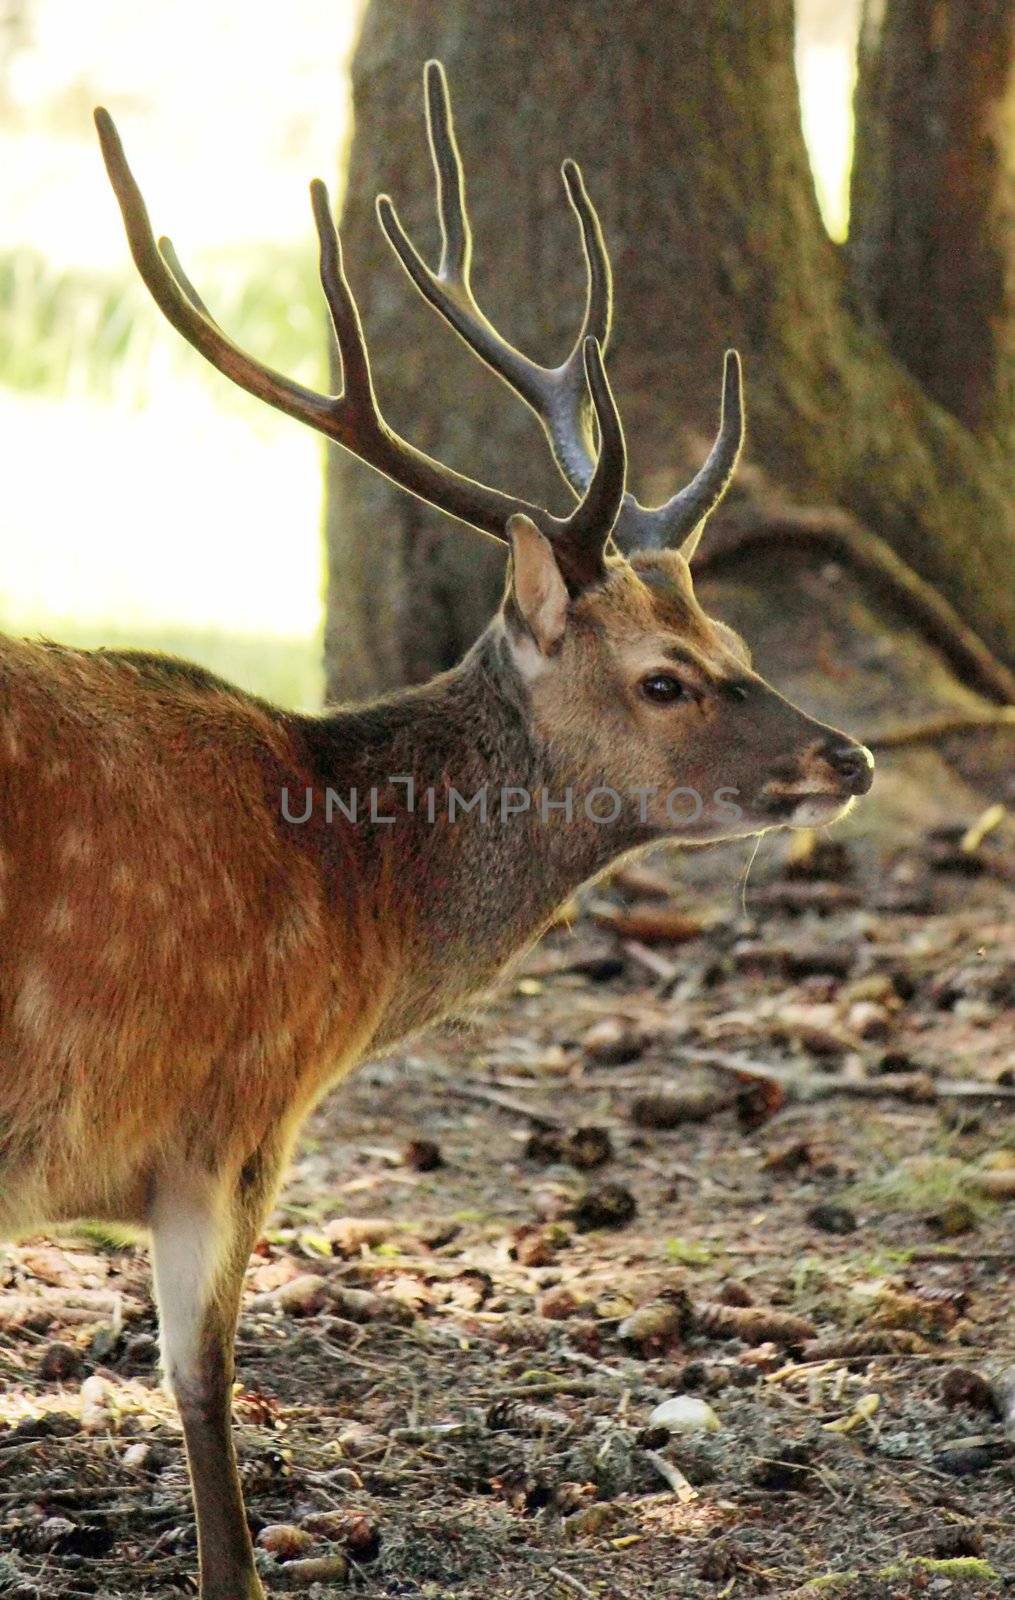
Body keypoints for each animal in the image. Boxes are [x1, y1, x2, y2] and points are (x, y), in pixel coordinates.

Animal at [0, 59, 870, 1600]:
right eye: (665, 678)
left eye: (738, 637)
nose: (852, 753)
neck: (358, 897)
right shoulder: (234, 1116)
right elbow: (207, 1406)